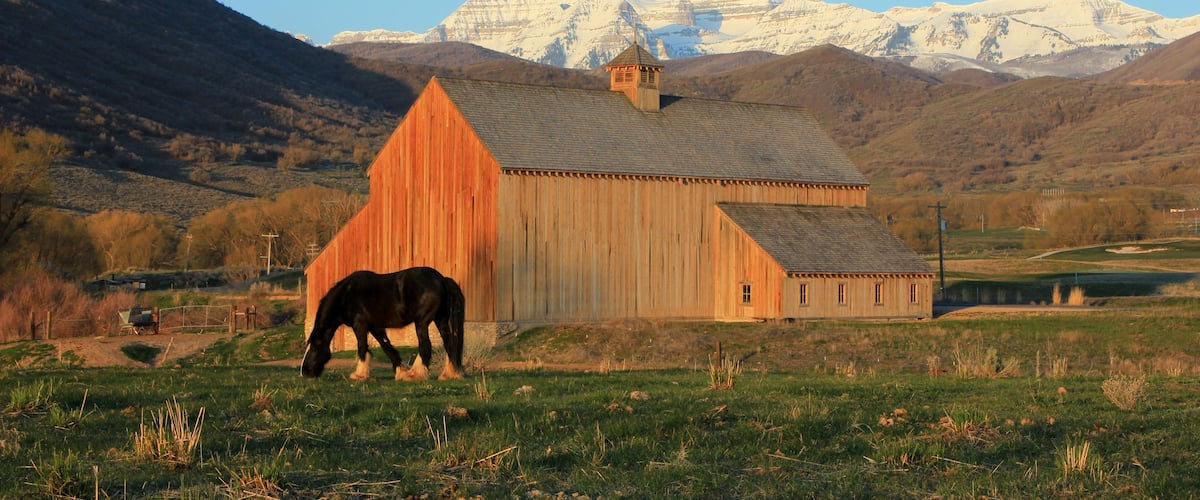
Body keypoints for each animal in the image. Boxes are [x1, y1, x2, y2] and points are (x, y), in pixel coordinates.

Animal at [301, 267, 465, 381]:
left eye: (313, 349)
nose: (304, 372)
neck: (346, 294)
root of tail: (442, 279)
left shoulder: (360, 325)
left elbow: (362, 347)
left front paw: (359, 375)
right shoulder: (375, 327)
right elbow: (387, 347)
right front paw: (400, 370)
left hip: (422, 322)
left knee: (426, 345)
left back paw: (415, 374)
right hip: (440, 320)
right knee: (449, 343)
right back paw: (449, 374)